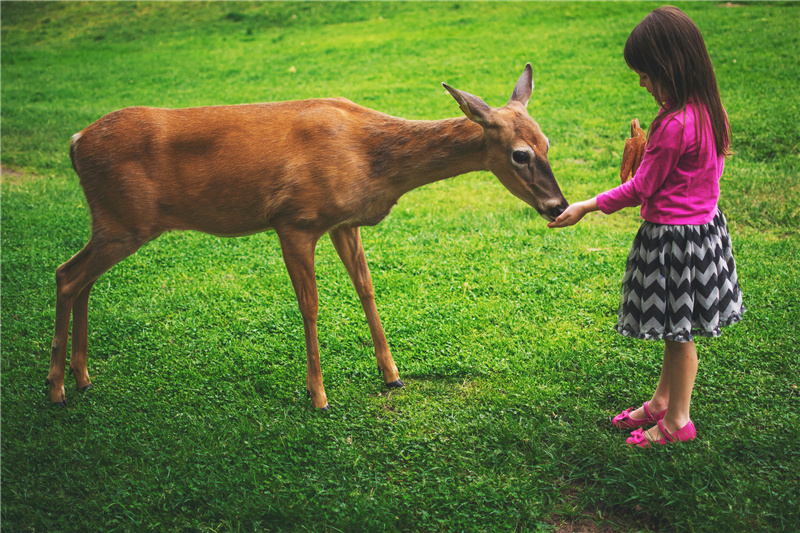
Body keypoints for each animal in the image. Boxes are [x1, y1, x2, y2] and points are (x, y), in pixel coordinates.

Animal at [48, 63, 568, 412]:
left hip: (114, 224)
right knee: (66, 275)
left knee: (79, 278)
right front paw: (317, 394)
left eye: (547, 143)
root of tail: (75, 142)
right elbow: (310, 306)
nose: (558, 206)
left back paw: (82, 376)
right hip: (125, 222)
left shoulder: (343, 221)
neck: (371, 159)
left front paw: (392, 375)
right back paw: (57, 387)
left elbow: (366, 290)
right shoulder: (294, 219)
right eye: (520, 154)